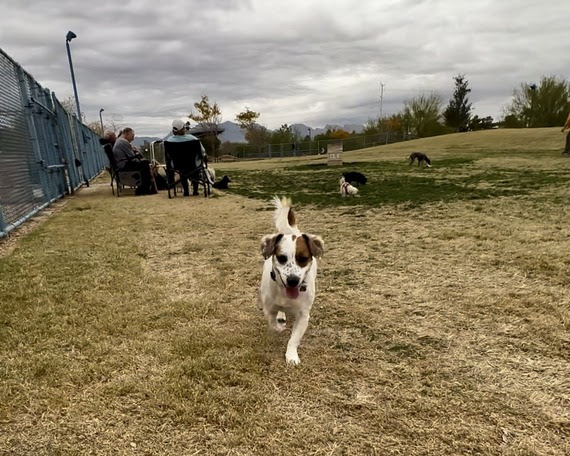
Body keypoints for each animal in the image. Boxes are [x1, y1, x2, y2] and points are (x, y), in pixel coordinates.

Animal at [258, 198, 324, 366]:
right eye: (282, 258)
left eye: (303, 258)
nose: (293, 280)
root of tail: (292, 231)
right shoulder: (269, 308)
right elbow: (273, 322)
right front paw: (278, 328)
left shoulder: (303, 316)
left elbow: (294, 339)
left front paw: (291, 355)